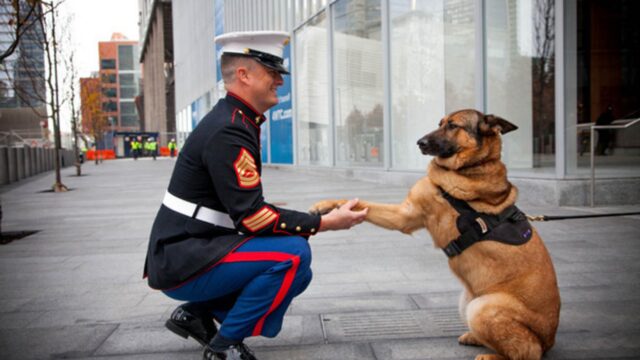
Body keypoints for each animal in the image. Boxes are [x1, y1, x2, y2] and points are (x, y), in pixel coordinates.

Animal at [310, 109, 560, 360]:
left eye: (453, 126)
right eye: (439, 123)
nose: (419, 142)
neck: (471, 166)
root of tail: (549, 339)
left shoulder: (406, 215)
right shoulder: (405, 215)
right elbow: (360, 202)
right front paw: (326, 206)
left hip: (482, 308)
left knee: (528, 351)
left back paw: (491, 355)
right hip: (466, 302)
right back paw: (474, 338)